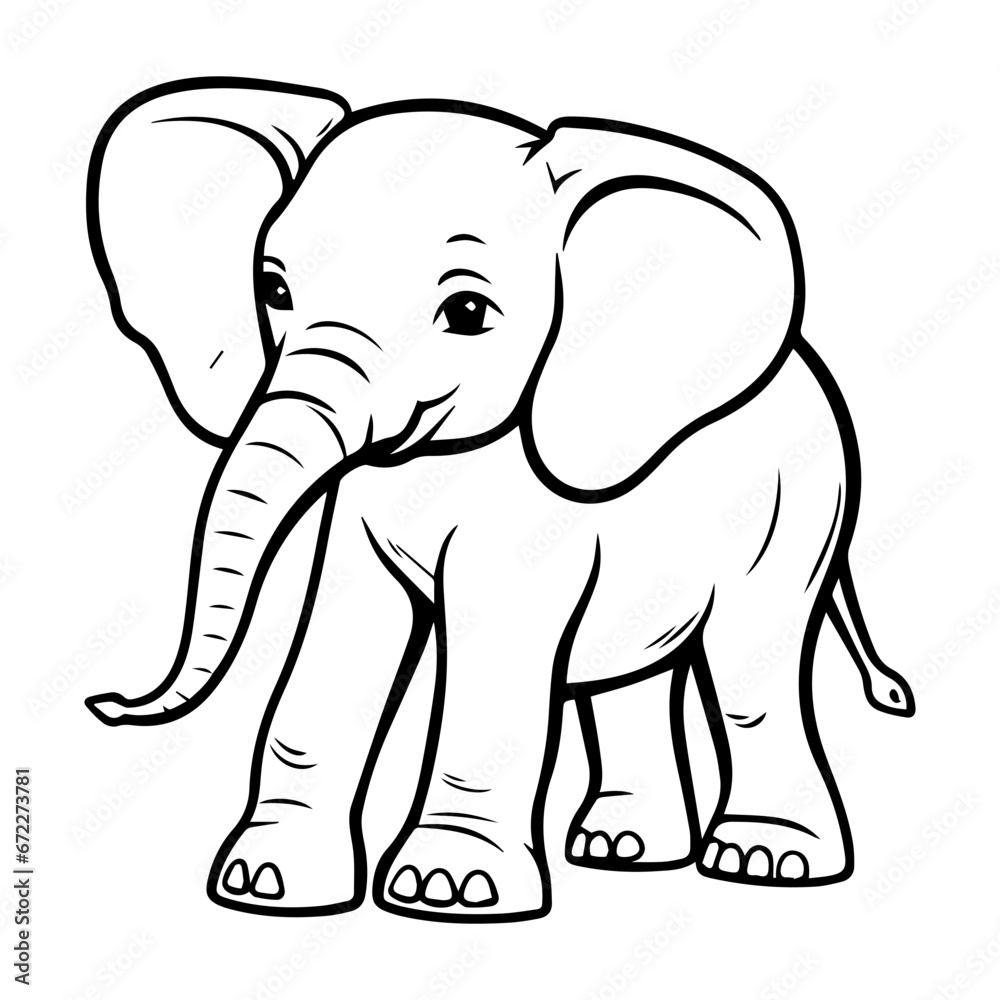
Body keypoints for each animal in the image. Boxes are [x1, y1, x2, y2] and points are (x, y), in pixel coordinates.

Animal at [84, 77, 914, 923]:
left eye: (468, 314)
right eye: (273, 289)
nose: (106, 704)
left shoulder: (541, 511)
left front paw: (446, 892)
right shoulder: (356, 506)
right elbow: (336, 643)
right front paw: (266, 884)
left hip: (797, 508)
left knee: (754, 662)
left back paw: (765, 862)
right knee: (636, 676)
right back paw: (622, 851)